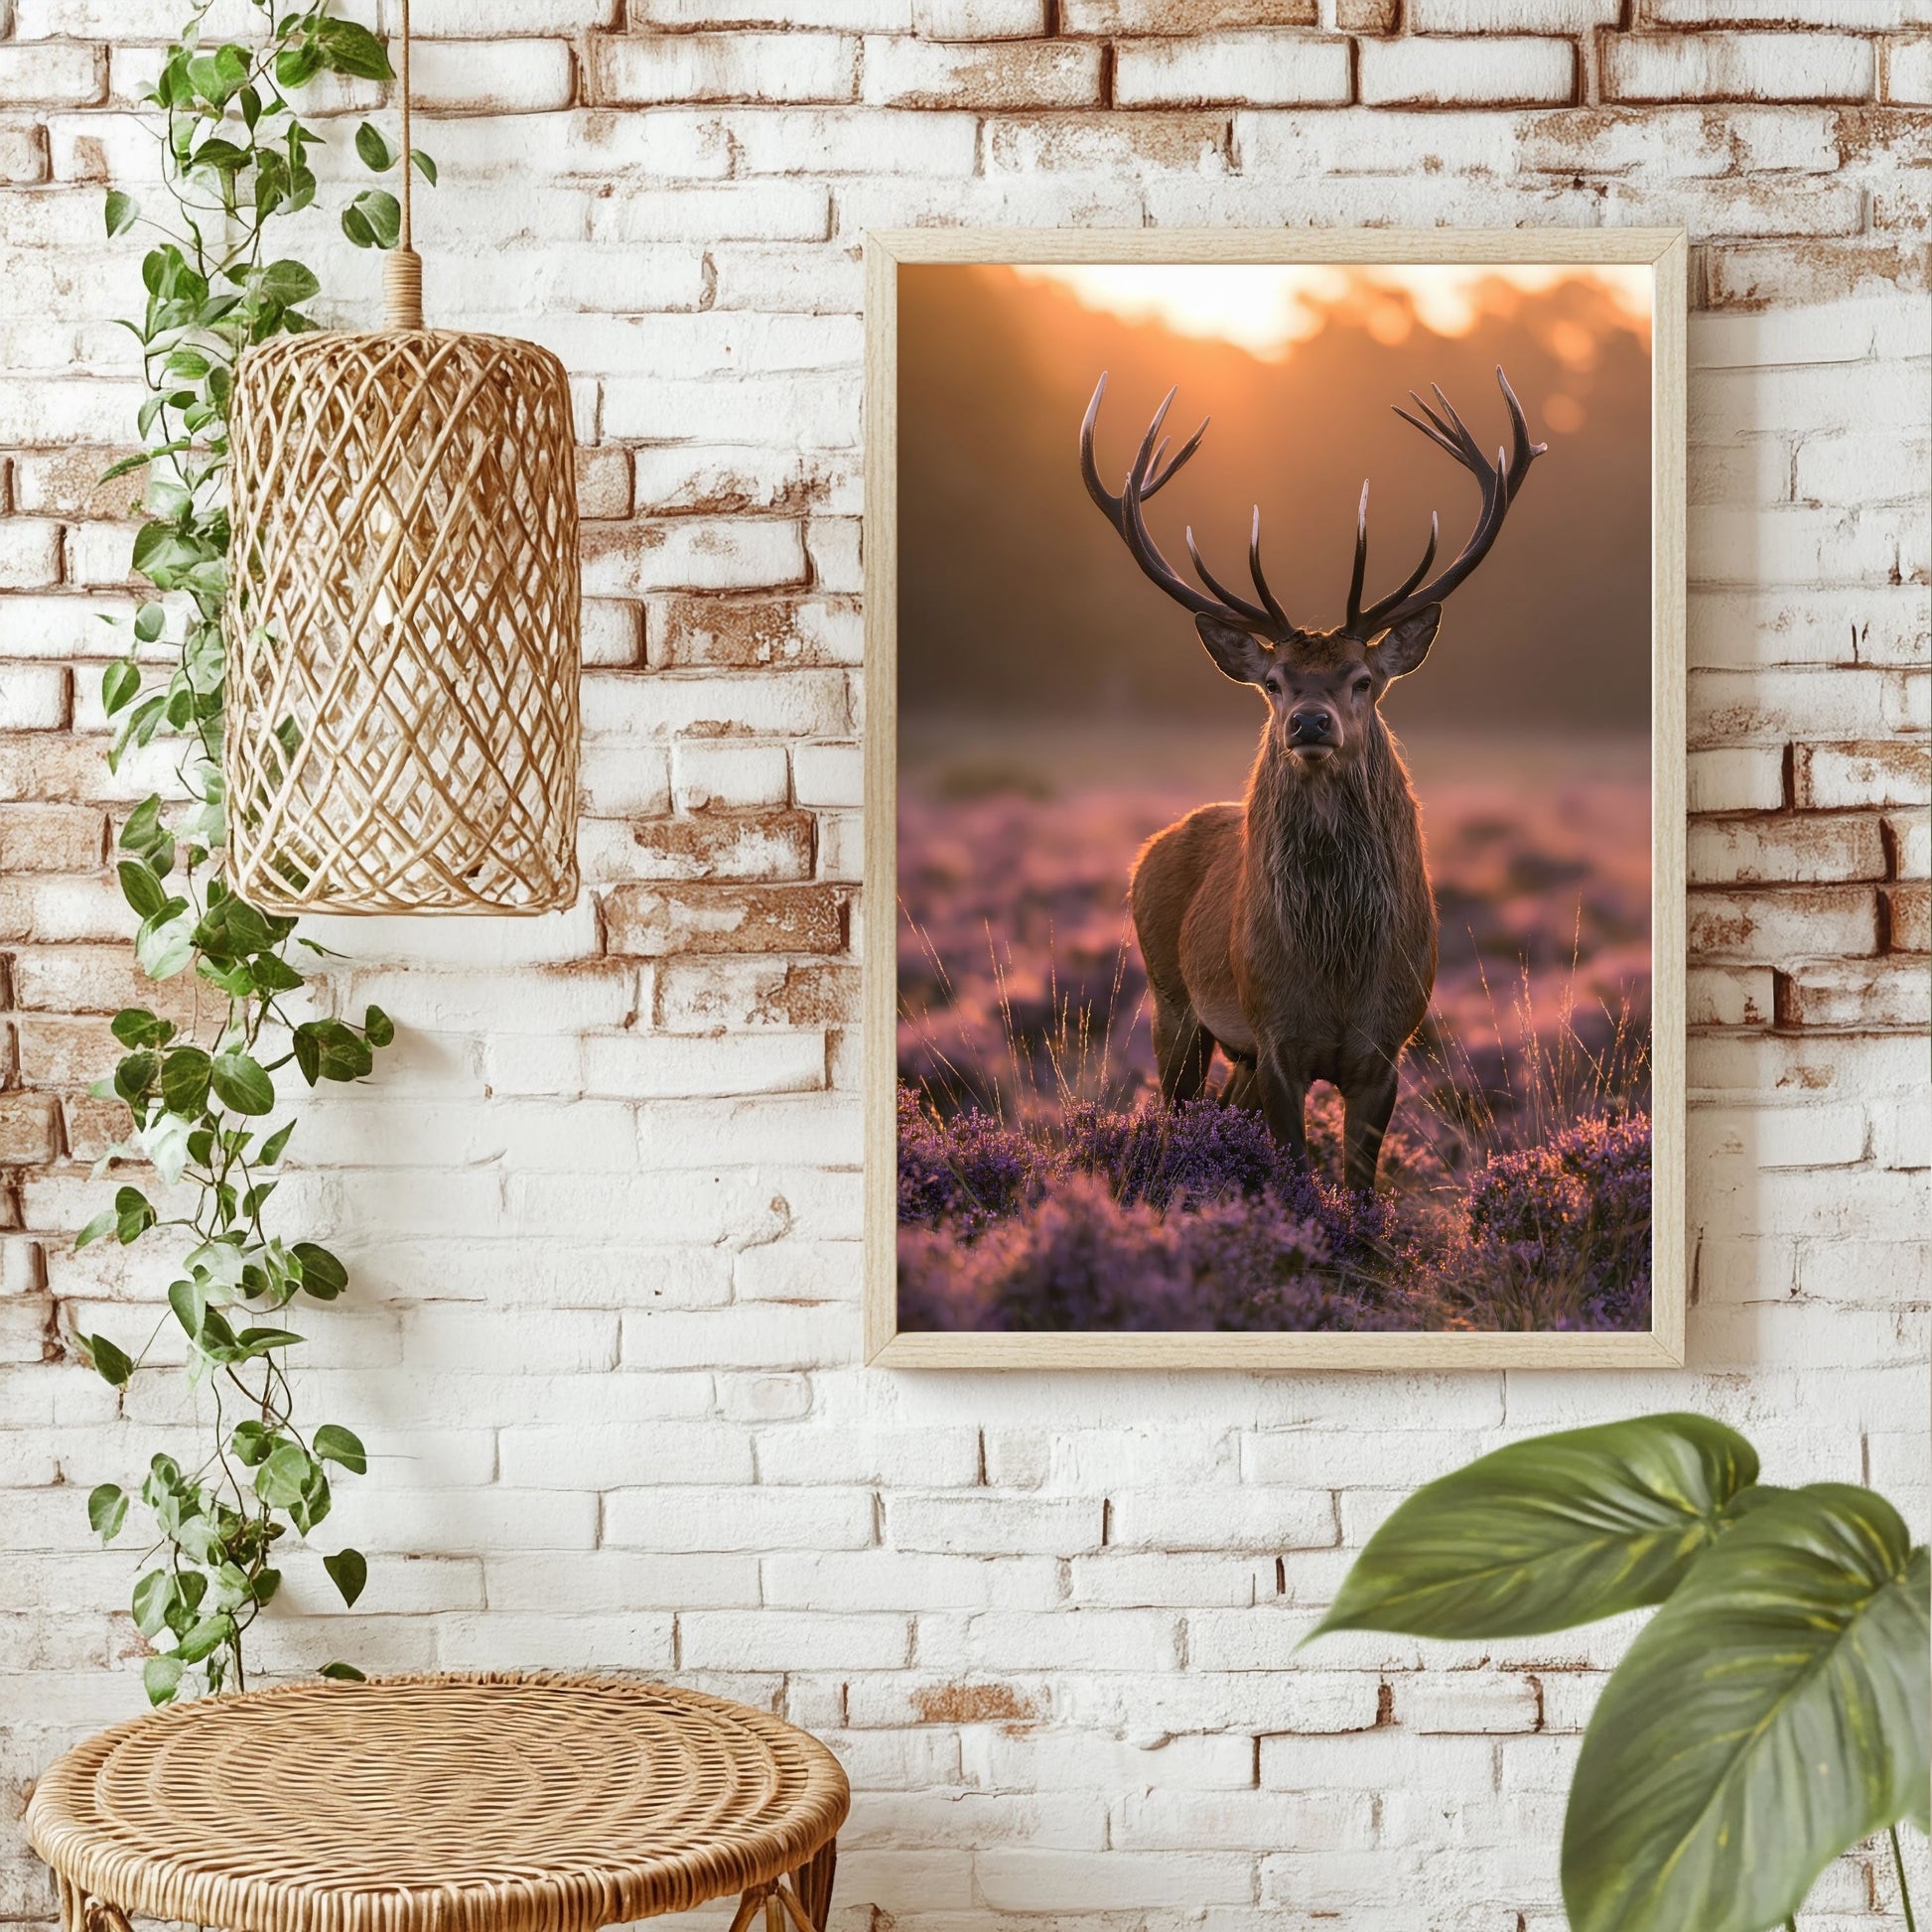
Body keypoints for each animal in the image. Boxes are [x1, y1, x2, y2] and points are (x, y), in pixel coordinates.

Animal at [1080, 365, 1545, 1191]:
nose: (1308, 723)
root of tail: (1151, 849)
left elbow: (1360, 1189)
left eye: (1363, 680)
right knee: (1175, 1110)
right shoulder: (1275, 1043)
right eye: (1274, 682)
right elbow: (1295, 1169)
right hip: (1172, 1001)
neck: (1335, 972)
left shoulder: (1386, 1050)